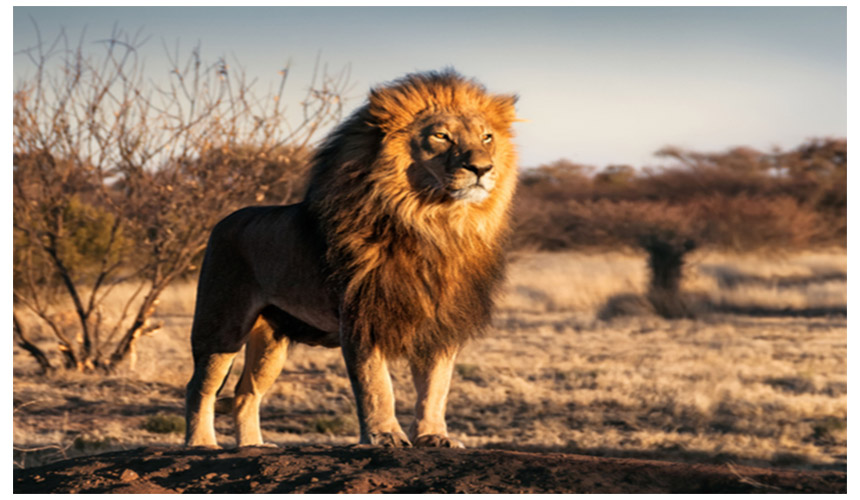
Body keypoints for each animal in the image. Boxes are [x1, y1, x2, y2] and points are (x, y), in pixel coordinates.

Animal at [184, 70, 519, 449]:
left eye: (487, 137)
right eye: (441, 136)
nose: (482, 168)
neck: (435, 224)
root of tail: (224, 220)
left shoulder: (441, 323)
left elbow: (436, 387)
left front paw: (434, 437)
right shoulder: (361, 315)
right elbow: (376, 385)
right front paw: (385, 436)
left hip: (271, 340)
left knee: (246, 394)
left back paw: (253, 446)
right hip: (220, 326)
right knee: (200, 387)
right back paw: (201, 444)